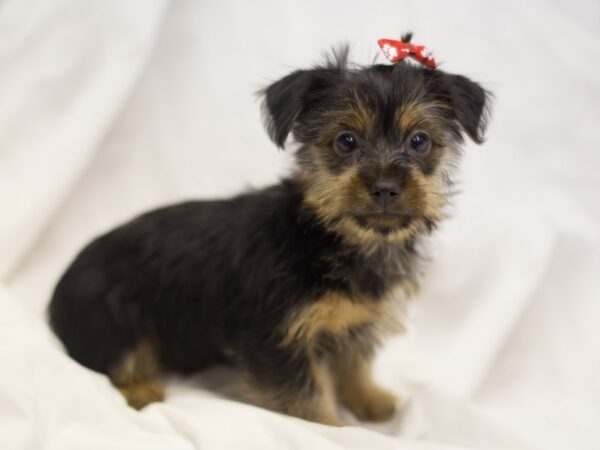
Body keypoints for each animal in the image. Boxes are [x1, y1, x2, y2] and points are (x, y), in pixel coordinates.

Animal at [49, 36, 490, 426]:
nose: (385, 187)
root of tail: (57, 291)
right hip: (114, 315)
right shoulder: (277, 339)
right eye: (346, 141)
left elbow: (353, 364)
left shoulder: (356, 322)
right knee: (115, 359)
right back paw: (142, 389)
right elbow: (307, 400)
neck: (330, 235)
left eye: (419, 141)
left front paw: (370, 400)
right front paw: (334, 429)